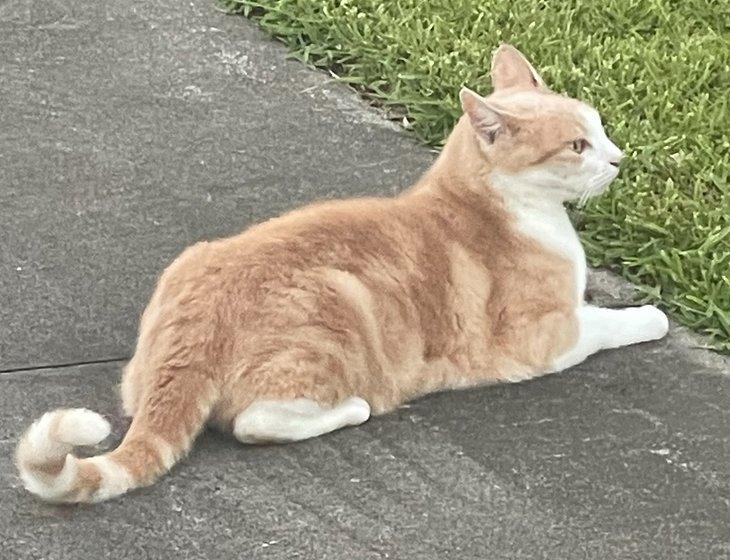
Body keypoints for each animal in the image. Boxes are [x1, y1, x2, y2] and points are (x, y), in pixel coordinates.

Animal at [15, 43, 664, 504]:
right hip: (337, 307)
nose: (619, 159)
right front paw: (650, 316)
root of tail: (191, 329)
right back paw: (354, 407)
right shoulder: (544, 339)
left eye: (599, 130)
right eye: (578, 145)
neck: (501, 206)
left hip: (184, 273)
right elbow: (607, 322)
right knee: (254, 422)